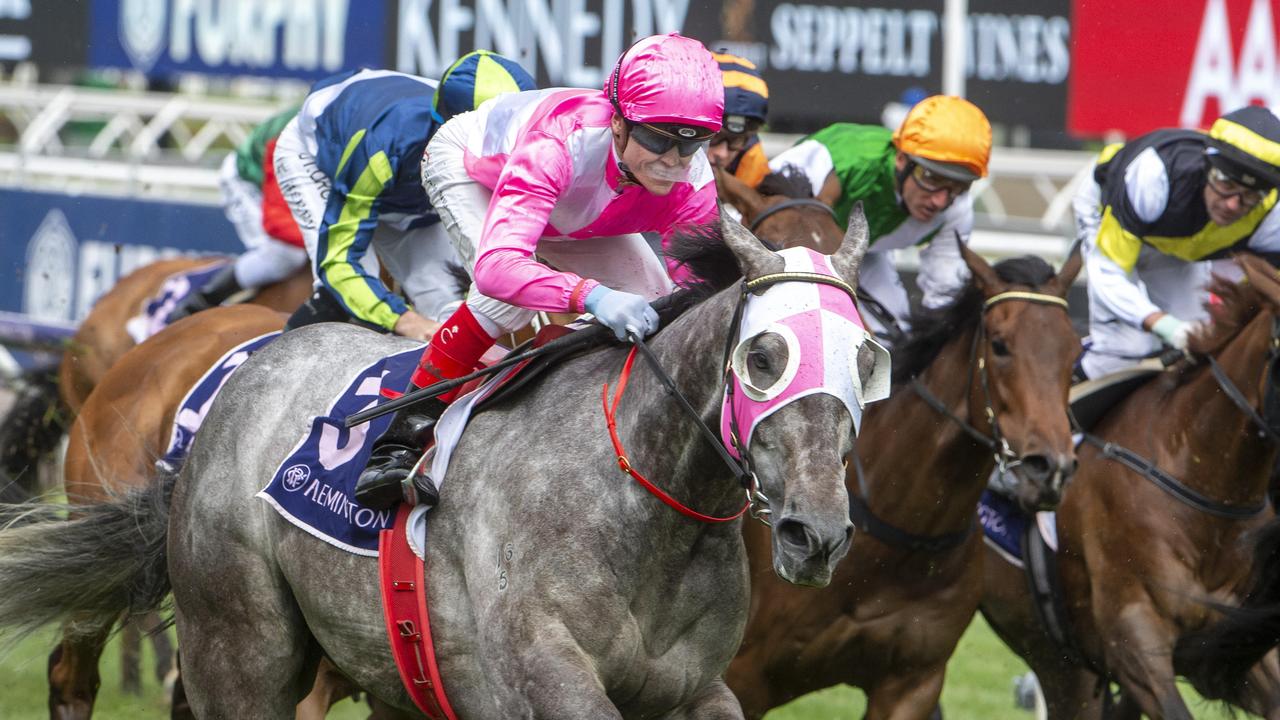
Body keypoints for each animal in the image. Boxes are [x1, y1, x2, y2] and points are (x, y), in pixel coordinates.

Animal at [0, 213, 875, 717]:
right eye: (764, 355)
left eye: (870, 357)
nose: (815, 533)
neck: (646, 508)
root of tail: (248, 368)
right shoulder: (542, 676)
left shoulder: (695, 690)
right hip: (240, 644)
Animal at [716, 166, 1085, 712]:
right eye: (999, 346)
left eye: (1075, 351)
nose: (1050, 467)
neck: (904, 530)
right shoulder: (745, 677)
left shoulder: (914, 681)